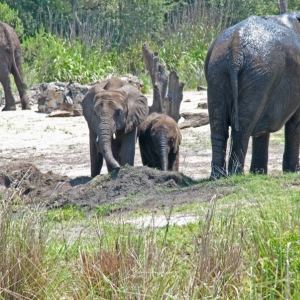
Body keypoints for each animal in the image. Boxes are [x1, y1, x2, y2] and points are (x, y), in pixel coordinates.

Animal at [205, 12, 300, 178]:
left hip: (217, 69)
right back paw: (236, 174)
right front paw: (294, 171)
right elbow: (295, 122)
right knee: (243, 126)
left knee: (218, 124)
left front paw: (258, 173)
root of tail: (235, 50)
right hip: (258, 75)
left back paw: (217, 176)